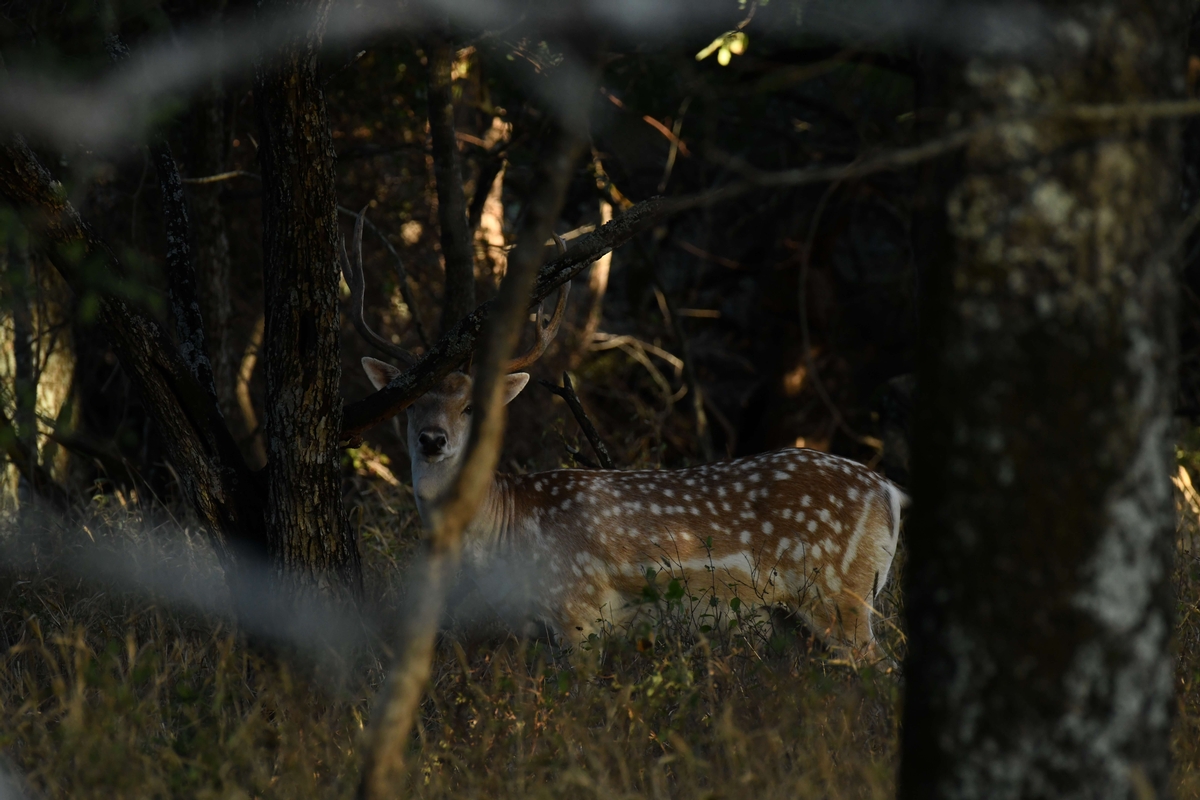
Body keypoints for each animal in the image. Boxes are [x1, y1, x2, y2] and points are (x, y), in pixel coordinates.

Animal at [342, 216, 908, 662]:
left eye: (470, 407)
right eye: (410, 404)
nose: (432, 440)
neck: (503, 533)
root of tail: (889, 492)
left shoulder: (578, 608)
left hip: (840, 592)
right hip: (800, 613)